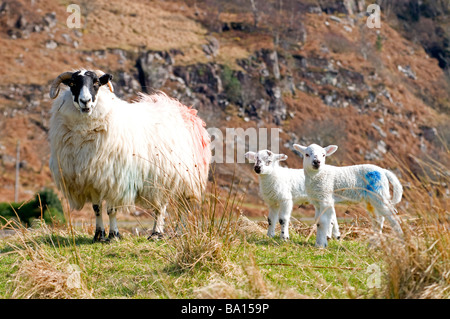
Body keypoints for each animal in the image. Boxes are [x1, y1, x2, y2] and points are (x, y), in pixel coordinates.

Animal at [48, 69, 211, 242]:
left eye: (96, 83)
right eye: (73, 84)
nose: (85, 101)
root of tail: (183, 109)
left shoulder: (114, 180)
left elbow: (111, 210)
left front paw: (114, 236)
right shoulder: (93, 180)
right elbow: (96, 208)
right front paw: (99, 236)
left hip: (185, 179)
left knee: (178, 208)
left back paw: (169, 233)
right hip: (162, 178)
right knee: (162, 206)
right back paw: (160, 233)